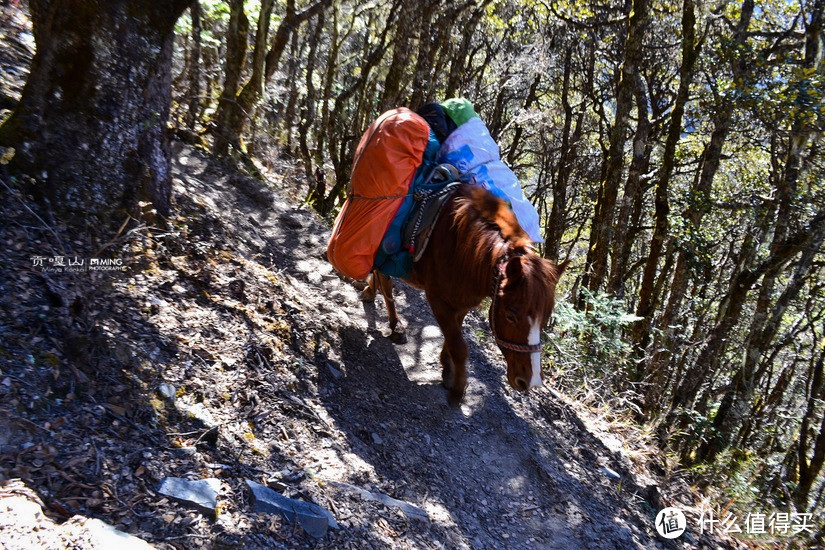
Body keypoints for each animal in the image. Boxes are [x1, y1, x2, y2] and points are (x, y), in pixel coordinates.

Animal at [366, 183, 568, 404]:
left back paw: (370, 292)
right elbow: (460, 346)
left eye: (545, 320)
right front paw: (457, 388)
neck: (466, 251)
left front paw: (447, 368)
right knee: (385, 282)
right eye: (510, 315)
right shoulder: (437, 300)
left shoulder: (462, 303)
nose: (531, 381)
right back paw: (395, 324)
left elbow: (454, 336)